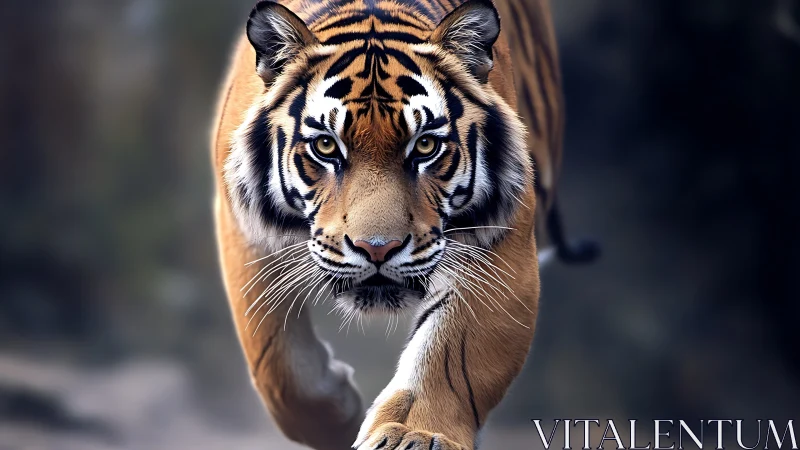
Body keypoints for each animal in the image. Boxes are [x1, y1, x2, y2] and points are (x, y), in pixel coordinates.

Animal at [211, 0, 597, 449]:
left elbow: (451, 358)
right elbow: (276, 362)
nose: (377, 248)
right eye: (326, 145)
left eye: (425, 145)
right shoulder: (242, 228)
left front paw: (413, 433)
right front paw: (340, 416)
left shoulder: (500, 246)